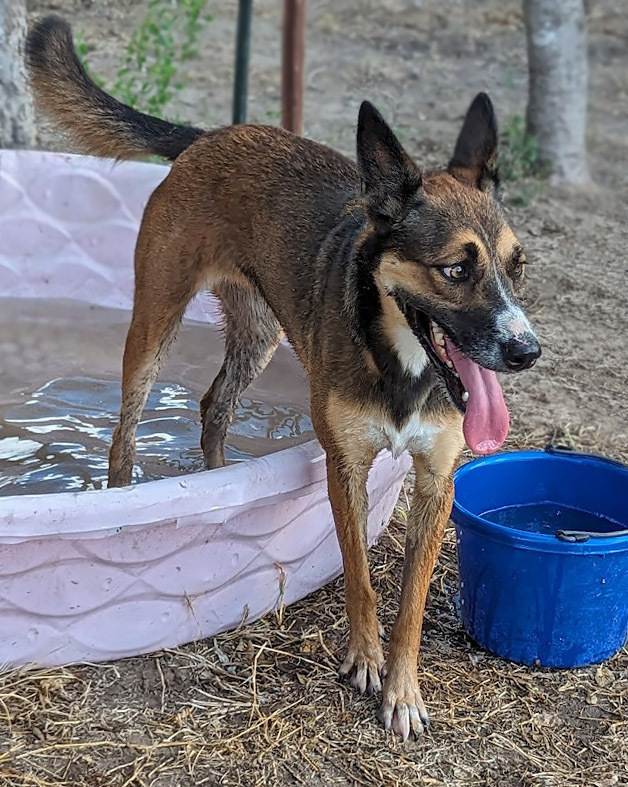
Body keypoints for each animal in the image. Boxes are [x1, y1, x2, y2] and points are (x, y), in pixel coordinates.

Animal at [25, 18, 540, 740]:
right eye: (456, 270)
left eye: (516, 267)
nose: (527, 351)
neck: (402, 364)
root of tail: (212, 134)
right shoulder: (345, 465)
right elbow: (360, 575)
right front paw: (363, 661)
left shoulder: (437, 479)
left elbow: (410, 598)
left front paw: (404, 689)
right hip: (154, 323)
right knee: (125, 434)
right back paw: (121, 497)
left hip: (258, 335)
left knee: (213, 406)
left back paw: (216, 479)